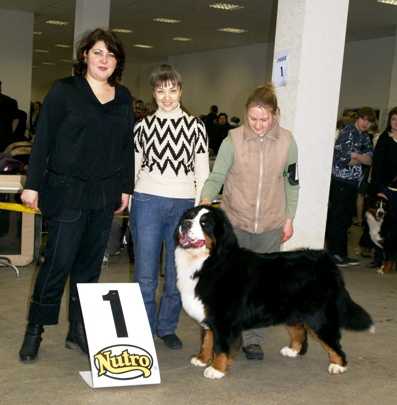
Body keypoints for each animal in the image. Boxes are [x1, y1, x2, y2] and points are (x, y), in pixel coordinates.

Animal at [175, 205, 372, 378]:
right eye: (189, 216)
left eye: (204, 223)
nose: (184, 224)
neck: (209, 262)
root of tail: (327, 261)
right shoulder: (209, 316)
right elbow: (207, 340)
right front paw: (201, 359)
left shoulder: (223, 320)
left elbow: (221, 347)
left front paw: (216, 369)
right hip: (292, 311)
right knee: (300, 330)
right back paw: (293, 350)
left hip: (318, 316)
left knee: (333, 342)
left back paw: (338, 365)